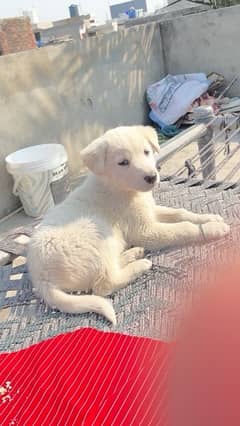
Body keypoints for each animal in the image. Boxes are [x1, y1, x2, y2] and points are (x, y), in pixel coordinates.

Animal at [27, 125, 230, 324]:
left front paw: (210, 218)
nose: (152, 177)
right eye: (123, 162)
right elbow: (182, 228)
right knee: (104, 284)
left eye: (146, 152)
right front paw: (213, 229)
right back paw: (140, 265)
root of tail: (41, 279)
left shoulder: (150, 211)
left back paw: (133, 254)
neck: (119, 187)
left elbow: (181, 213)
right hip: (98, 231)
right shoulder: (145, 231)